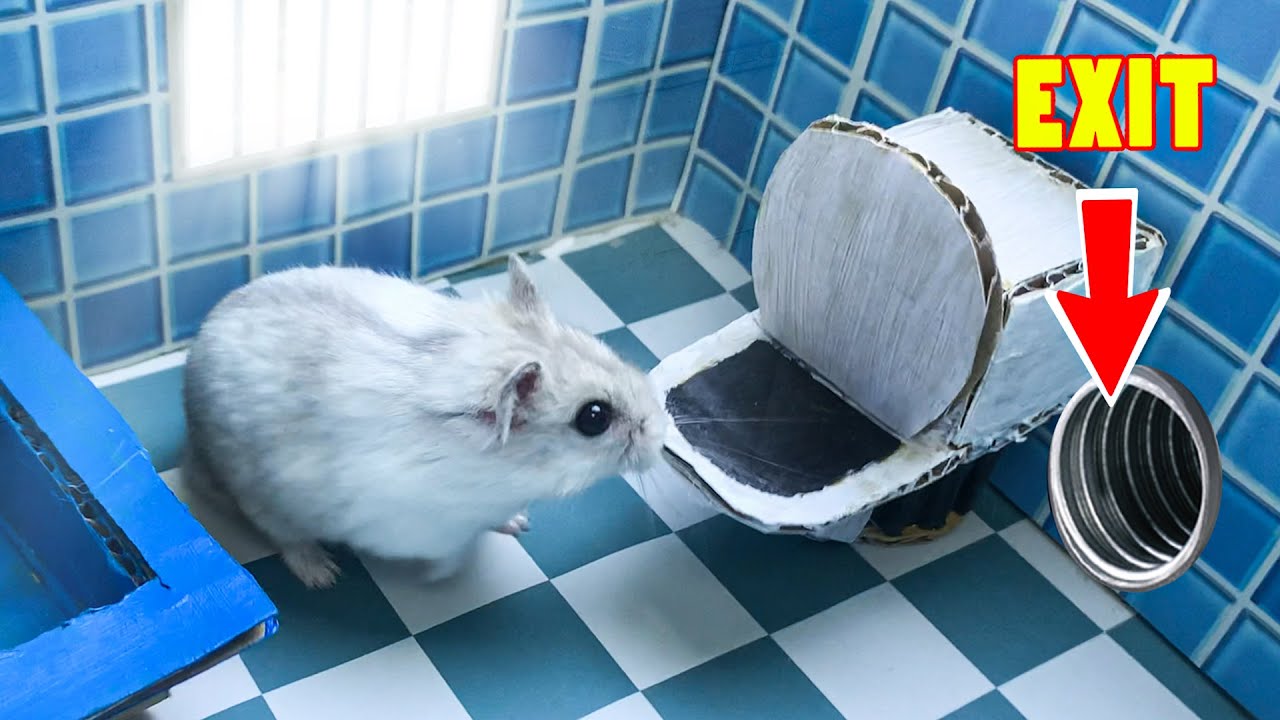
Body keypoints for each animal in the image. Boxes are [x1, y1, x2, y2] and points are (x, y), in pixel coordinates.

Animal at [181, 256, 667, 588]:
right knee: (283, 536)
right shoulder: (427, 528)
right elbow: (451, 554)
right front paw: (440, 578)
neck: (510, 472)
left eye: (598, 345)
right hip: (264, 500)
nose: (663, 435)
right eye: (594, 418)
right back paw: (323, 574)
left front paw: (519, 522)